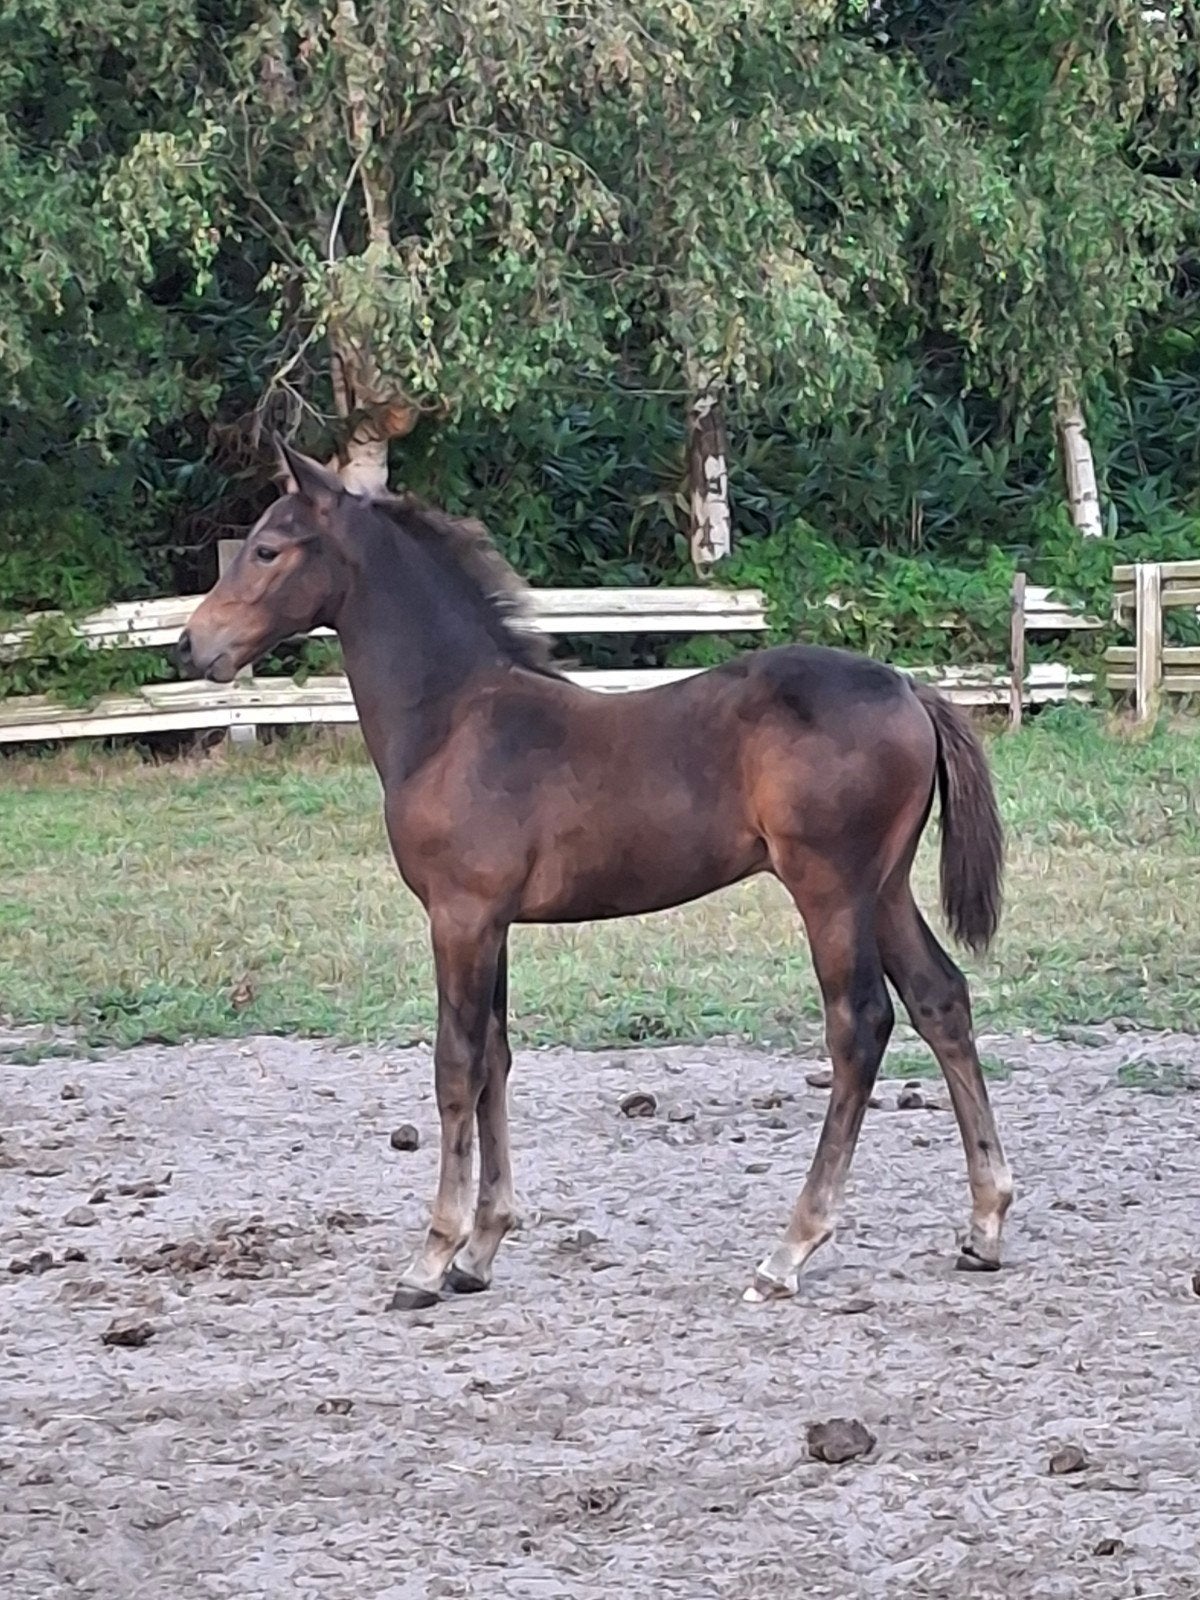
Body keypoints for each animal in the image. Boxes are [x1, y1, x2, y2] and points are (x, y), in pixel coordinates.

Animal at [178, 440, 1012, 1311]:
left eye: (269, 549)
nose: (191, 646)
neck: (454, 720)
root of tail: (910, 688)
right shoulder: (493, 924)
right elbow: (495, 1062)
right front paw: (481, 1250)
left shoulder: (459, 916)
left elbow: (455, 1068)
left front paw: (431, 1259)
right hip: (884, 887)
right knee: (941, 1001)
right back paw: (983, 1226)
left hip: (830, 890)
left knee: (860, 1025)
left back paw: (790, 1250)